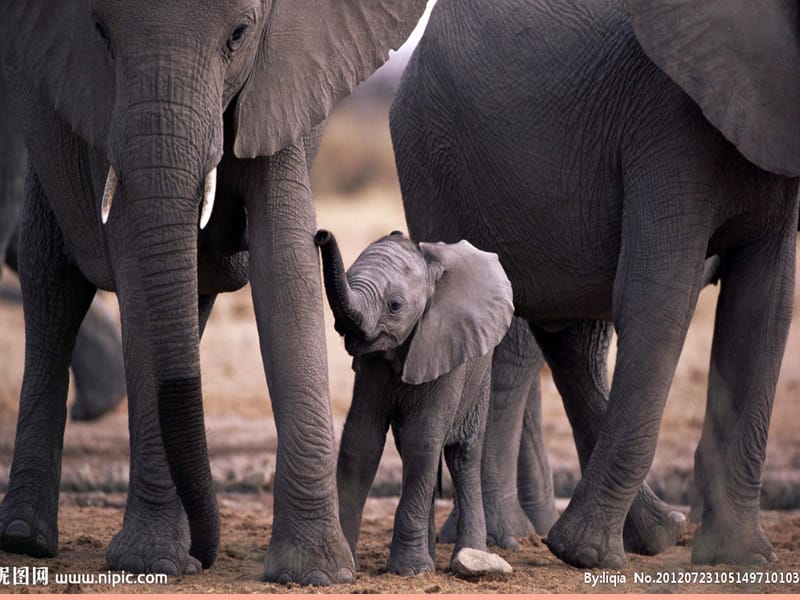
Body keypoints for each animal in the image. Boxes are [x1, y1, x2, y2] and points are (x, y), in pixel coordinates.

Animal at [316, 230, 516, 576]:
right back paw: (432, 560)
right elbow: (361, 442)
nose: (321, 235)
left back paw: (468, 556)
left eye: (395, 306)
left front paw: (409, 571)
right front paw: (351, 565)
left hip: (480, 377)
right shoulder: (372, 365)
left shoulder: (444, 346)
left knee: (461, 456)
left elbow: (422, 440)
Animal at [388, 0, 800, 568]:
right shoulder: (666, 121)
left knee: (573, 340)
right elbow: (658, 299)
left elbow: (762, 310)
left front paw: (740, 559)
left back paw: (656, 533)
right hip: (433, 155)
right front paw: (584, 555)